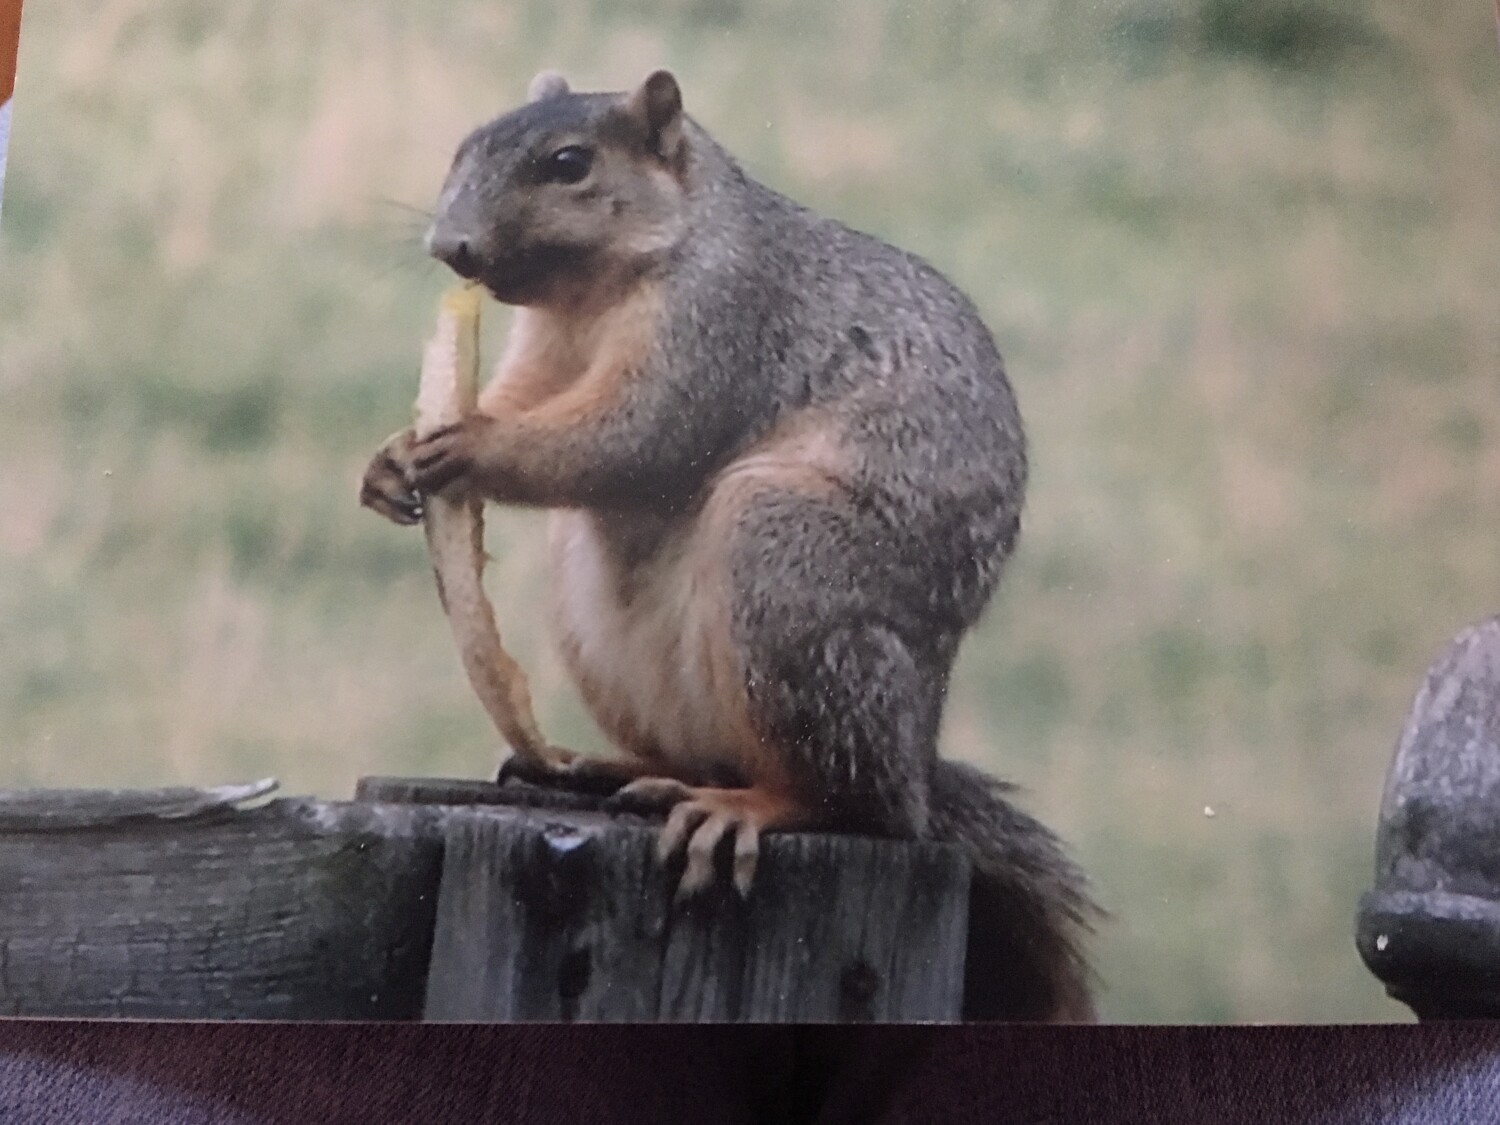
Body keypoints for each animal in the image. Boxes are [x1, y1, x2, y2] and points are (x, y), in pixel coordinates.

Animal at [360, 69, 1100, 1022]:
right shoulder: (549, 348)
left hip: (784, 563)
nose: (450, 245)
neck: (606, 285)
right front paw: (390, 458)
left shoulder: (723, 323)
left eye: (569, 163)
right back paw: (608, 767)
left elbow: (634, 437)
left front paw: (473, 445)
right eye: (465, 145)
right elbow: (526, 398)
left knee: (852, 802)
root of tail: (919, 755)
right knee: (698, 753)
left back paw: (748, 807)